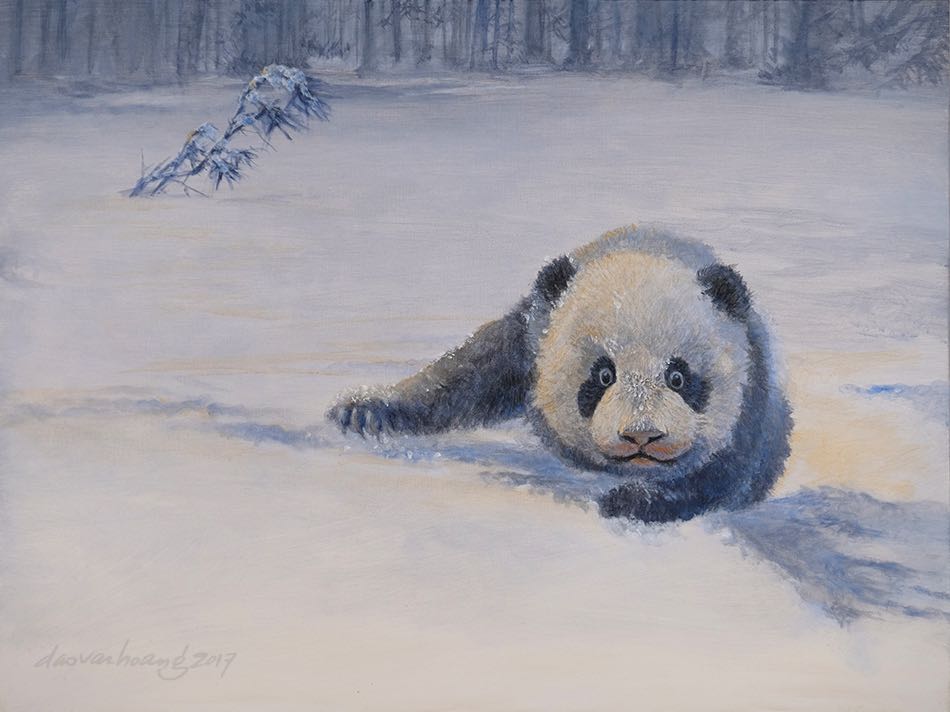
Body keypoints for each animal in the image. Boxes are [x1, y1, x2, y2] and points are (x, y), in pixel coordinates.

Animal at [327, 225, 792, 523]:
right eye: (602, 376)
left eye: (679, 378)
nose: (641, 436)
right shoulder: (532, 332)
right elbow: (468, 376)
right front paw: (366, 409)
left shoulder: (754, 396)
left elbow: (725, 474)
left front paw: (636, 501)